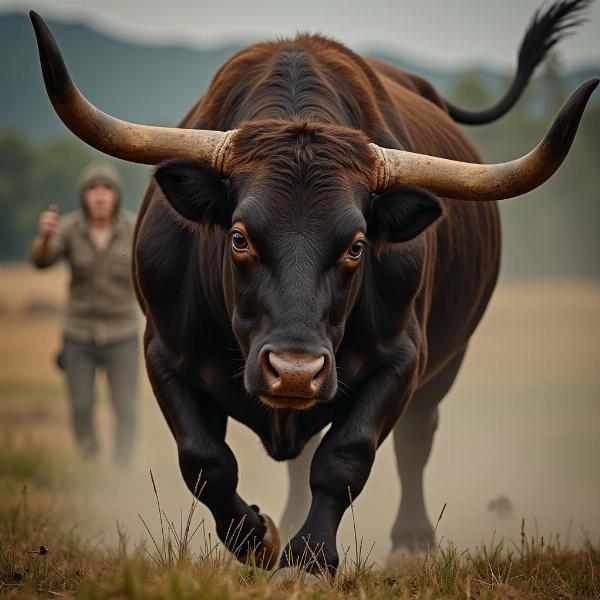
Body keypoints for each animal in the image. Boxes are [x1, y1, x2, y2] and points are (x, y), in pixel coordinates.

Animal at [30, 1, 596, 580]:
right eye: (239, 237)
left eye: (357, 245)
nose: (296, 370)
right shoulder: (162, 352)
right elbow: (205, 461)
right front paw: (259, 538)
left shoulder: (402, 358)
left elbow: (345, 456)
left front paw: (309, 555)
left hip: (447, 361)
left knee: (415, 439)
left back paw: (412, 538)